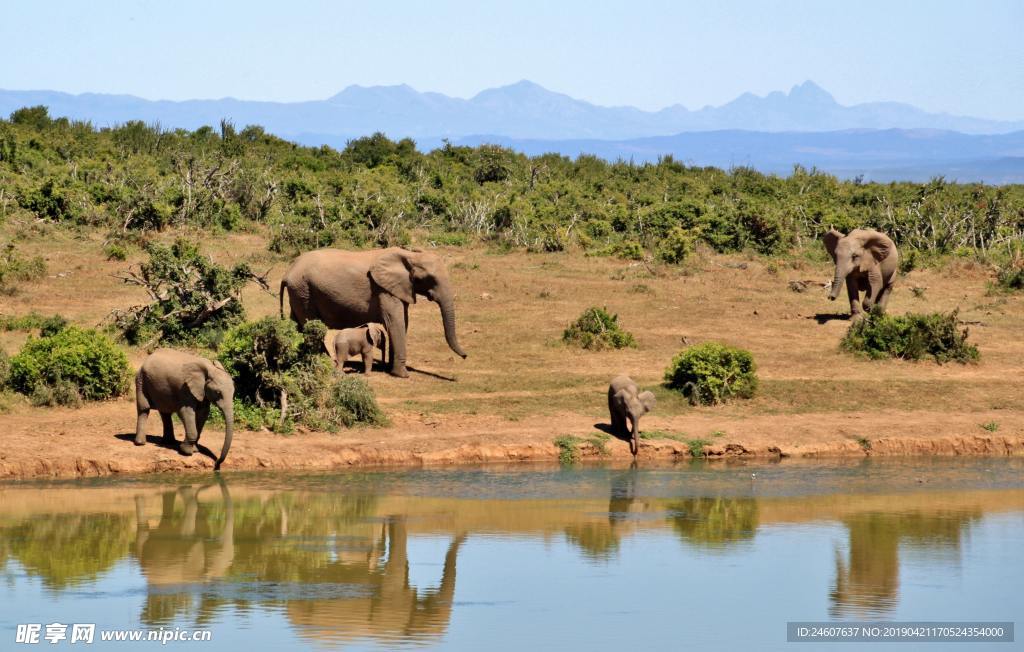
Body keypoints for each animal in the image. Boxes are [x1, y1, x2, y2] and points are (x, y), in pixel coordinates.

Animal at [282, 245, 468, 378]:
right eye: (429, 279)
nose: (466, 356)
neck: (409, 255)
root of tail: (288, 271)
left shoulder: (398, 288)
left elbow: (403, 322)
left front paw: (392, 370)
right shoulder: (383, 290)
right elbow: (395, 322)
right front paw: (402, 375)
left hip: (299, 293)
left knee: (297, 325)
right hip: (303, 291)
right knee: (311, 326)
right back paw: (325, 362)